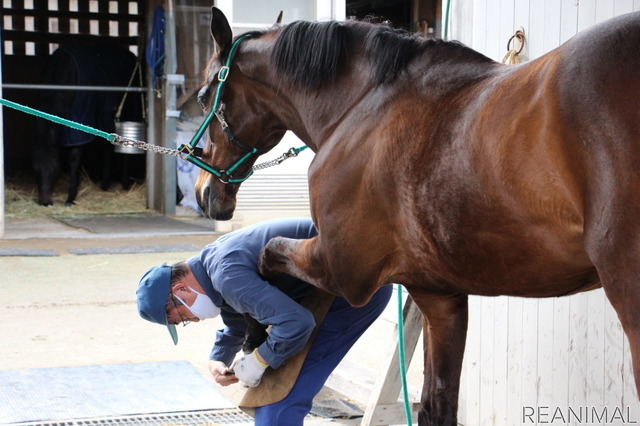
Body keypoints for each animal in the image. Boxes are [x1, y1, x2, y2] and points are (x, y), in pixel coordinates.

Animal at [34, 44, 144, 207]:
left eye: (55, 170)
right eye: (35, 169)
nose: (44, 202)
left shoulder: (79, 125)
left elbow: (74, 160)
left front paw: (70, 198)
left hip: (128, 113)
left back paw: (124, 183)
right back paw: (105, 184)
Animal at [192, 8, 640, 424]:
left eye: (202, 96)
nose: (203, 192)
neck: (363, 107)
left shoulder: (339, 268)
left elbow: (267, 256)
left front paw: (254, 346)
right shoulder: (439, 297)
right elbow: (436, 405)